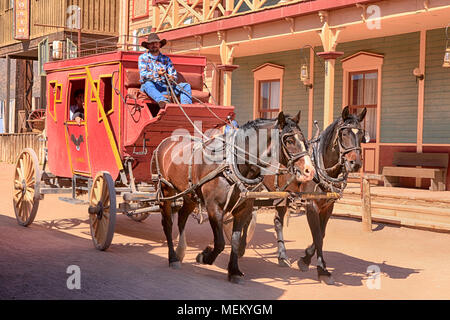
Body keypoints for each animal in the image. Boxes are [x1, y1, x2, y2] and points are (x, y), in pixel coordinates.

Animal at [150, 110, 312, 282]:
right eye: (289, 140)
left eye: (304, 140)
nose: (309, 171)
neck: (232, 166)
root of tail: (165, 142)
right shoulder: (214, 208)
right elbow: (220, 243)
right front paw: (204, 256)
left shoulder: (243, 209)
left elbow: (234, 240)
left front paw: (234, 270)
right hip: (165, 190)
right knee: (167, 222)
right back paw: (173, 257)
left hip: (190, 194)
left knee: (181, 218)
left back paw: (180, 251)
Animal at [264, 106, 366, 284]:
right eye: (344, 133)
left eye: (361, 134)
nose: (356, 164)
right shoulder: (311, 206)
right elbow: (317, 235)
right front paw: (322, 269)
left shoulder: (328, 207)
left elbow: (322, 234)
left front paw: (305, 259)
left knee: (278, 221)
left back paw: (282, 256)